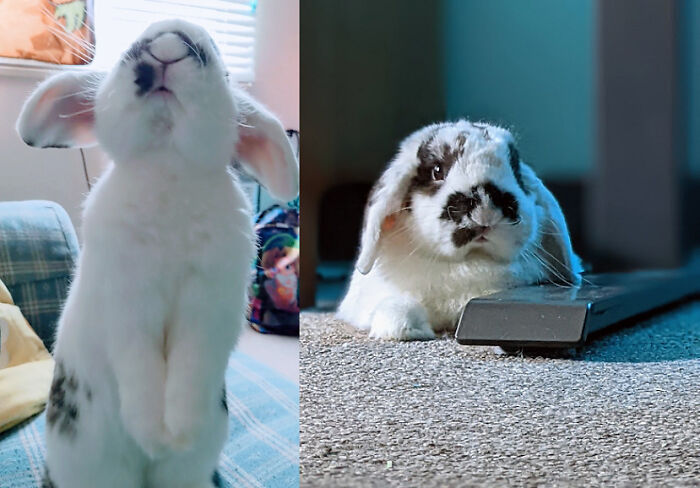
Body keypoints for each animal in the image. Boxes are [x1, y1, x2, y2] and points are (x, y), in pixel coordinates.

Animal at [16, 19, 298, 488]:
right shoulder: (127, 303)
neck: (168, 168)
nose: (170, 41)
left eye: (224, 74)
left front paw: (177, 434)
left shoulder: (208, 308)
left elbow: (191, 365)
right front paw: (152, 432)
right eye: (125, 55)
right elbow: (139, 366)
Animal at [337, 120, 581, 341]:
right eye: (437, 171)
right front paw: (406, 331)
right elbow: (396, 305)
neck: (469, 262)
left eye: (516, 171)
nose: (486, 212)